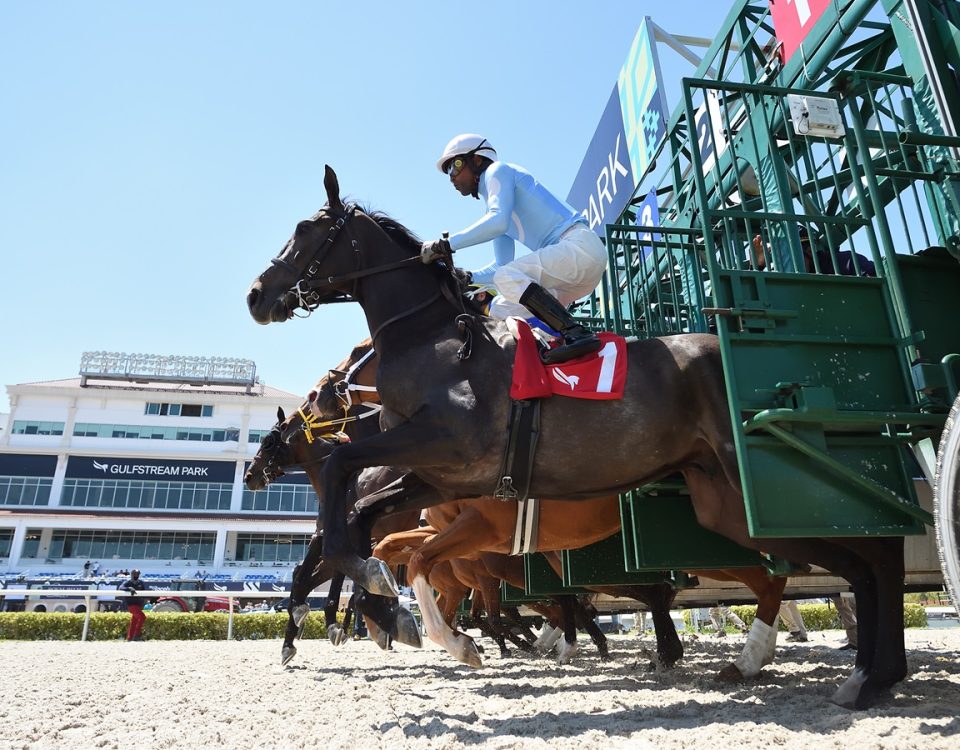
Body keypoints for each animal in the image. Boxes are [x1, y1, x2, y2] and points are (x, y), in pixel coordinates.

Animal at [248, 166, 908, 712]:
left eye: (306, 230)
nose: (256, 295)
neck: (435, 340)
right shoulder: (441, 476)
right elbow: (371, 525)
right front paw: (395, 612)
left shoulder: (447, 448)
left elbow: (344, 475)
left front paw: (379, 607)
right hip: (727, 504)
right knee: (849, 559)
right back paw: (851, 670)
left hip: (761, 488)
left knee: (871, 551)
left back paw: (861, 672)